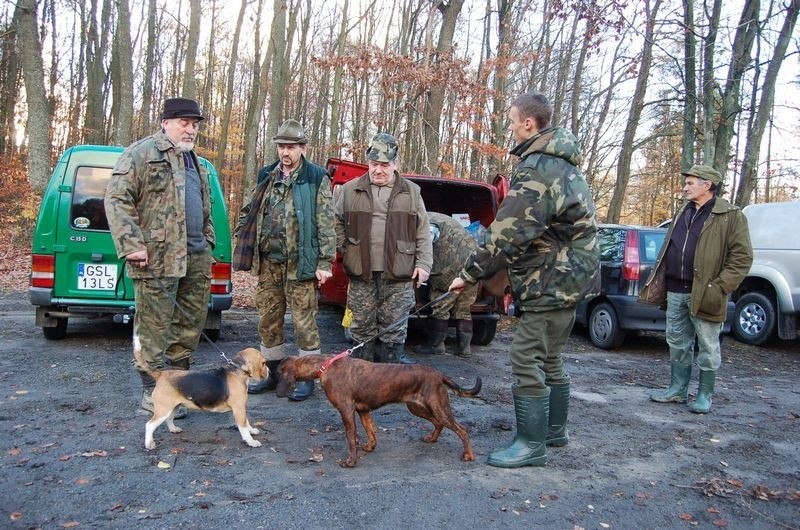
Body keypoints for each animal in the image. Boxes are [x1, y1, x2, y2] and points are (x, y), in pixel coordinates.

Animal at [133, 336, 268, 448]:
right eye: (264, 363)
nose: (269, 371)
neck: (237, 370)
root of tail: (160, 374)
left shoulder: (241, 408)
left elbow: (246, 421)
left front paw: (252, 431)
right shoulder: (238, 408)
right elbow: (243, 426)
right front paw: (251, 441)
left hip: (174, 406)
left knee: (169, 419)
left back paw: (174, 429)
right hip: (163, 409)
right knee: (150, 425)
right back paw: (149, 444)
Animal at [276, 352, 482, 464]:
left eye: (279, 373)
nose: (277, 392)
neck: (324, 366)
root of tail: (439, 375)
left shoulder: (347, 411)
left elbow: (351, 438)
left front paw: (351, 461)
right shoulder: (363, 411)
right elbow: (370, 431)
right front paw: (370, 447)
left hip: (438, 407)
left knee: (462, 429)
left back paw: (469, 455)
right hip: (417, 407)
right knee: (438, 424)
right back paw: (432, 438)